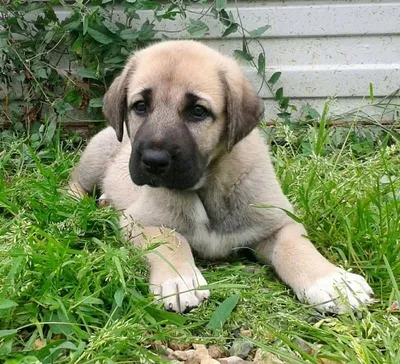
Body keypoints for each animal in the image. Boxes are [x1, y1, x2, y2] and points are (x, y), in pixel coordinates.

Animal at [68, 39, 372, 312]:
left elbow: (297, 247)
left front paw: (332, 281)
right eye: (140, 106)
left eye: (197, 111)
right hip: (96, 155)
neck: (210, 185)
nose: (153, 161)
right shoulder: (141, 220)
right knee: (75, 180)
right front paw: (179, 280)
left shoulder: (280, 222)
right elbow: (170, 240)